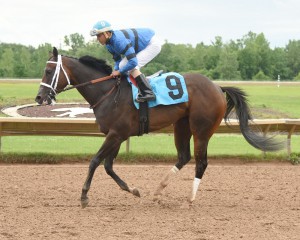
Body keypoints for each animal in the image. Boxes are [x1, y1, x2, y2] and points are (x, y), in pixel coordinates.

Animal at [35, 47, 284, 208]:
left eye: (48, 71)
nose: (39, 98)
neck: (108, 92)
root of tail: (217, 86)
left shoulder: (115, 134)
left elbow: (95, 162)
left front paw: (84, 196)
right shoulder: (118, 135)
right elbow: (108, 166)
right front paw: (133, 190)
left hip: (201, 129)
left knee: (201, 162)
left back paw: (189, 200)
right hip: (181, 125)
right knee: (183, 157)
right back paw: (157, 192)